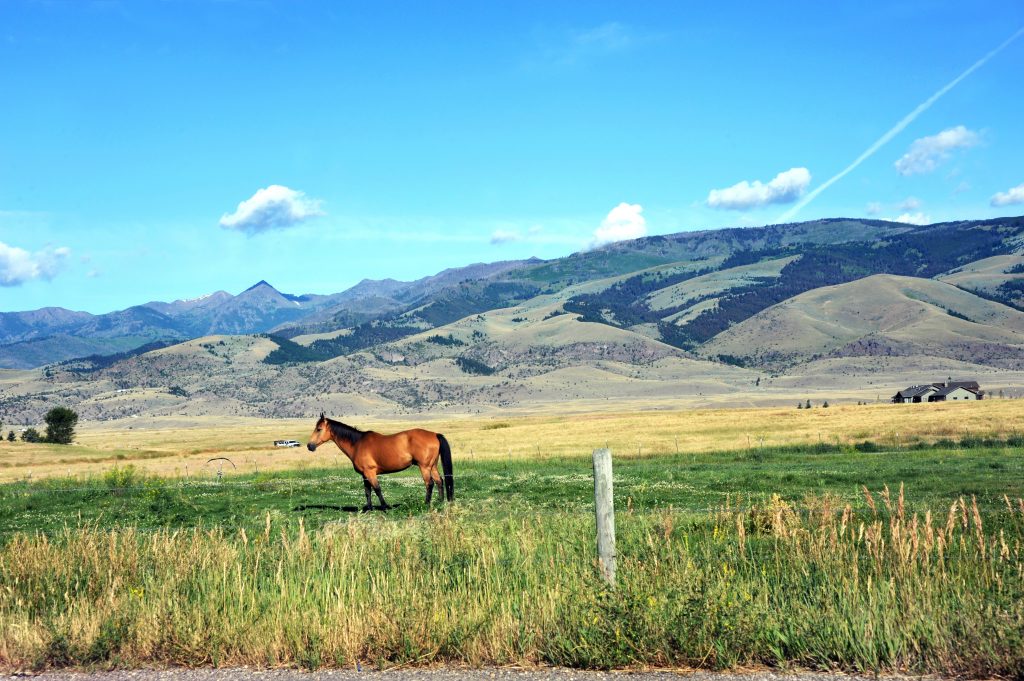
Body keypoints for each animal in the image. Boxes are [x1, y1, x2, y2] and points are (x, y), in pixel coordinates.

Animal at [305, 413, 454, 509]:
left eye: (319, 429)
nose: (309, 446)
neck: (357, 444)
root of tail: (434, 434)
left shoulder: (370, 472)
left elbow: (377, 489)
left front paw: (384, 507)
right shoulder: (364, 475)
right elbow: (367, 491)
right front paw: (369, 508)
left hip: (424, 467)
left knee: (429, 483)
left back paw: (426, 504)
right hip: (432, 466)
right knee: (439, 481)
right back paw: (440, 502)